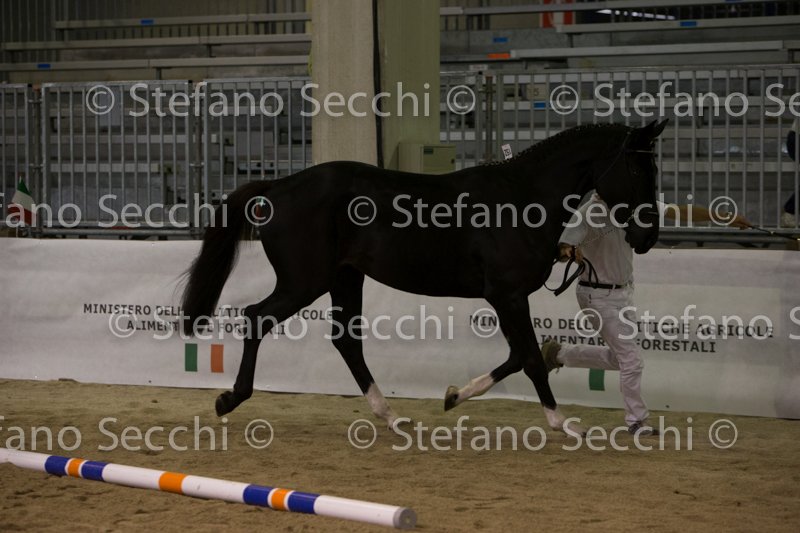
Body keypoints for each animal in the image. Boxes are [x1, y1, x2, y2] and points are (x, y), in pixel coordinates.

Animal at [181, 119, 668, 434]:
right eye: (638, 168)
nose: (646, 237)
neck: (521, 200)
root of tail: (277, 189)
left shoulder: (507, 299)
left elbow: (516, 357)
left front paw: (453, 397)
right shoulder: (507, 295)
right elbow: (529, 358)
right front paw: (561, 422)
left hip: (345, 278)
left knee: (346, 340)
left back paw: (391, 416)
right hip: (305, 281)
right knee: (257, 317)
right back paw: (229, 399)